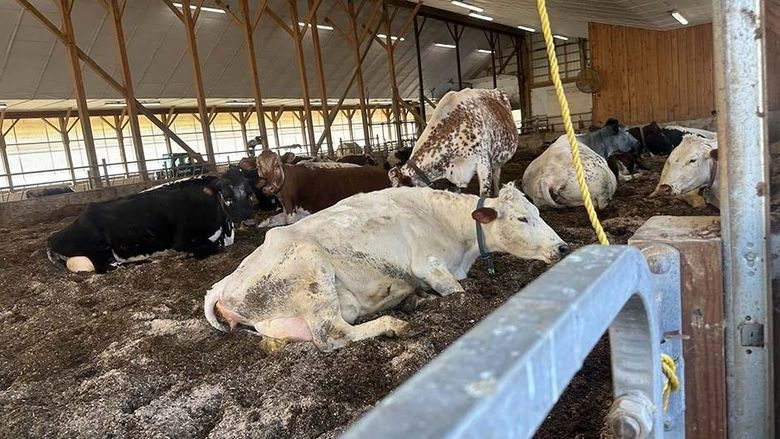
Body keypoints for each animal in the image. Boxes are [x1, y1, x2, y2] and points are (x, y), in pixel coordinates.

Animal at [46, 170, 253, 274]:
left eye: (250, 194)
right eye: (227, 196)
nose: (249, 222)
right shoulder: (182, 241)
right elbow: (212, 247)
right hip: (98, 247)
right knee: (106, 267)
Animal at [201, 184, 568, 352]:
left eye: (537, 213)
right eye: (522, 219)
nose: (563, 247)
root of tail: (223, 284)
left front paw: (420, 297)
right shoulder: (427, 264)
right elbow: (459, 293)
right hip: (312, 270)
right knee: (332, 335)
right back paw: (396, 324)